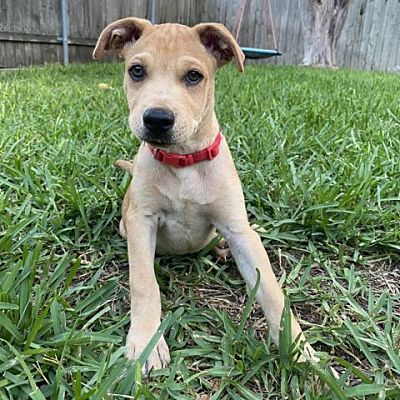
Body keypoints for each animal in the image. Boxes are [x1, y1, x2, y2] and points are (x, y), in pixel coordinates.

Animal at [93, 18, 316, 376]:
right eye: (137, 71)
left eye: (194, 76)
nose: (157, 119)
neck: (183, 161)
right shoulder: (141, 223)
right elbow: (144, 283)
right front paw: (146, 341)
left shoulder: (238, 228)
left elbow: (271, 289)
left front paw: (297, 347)